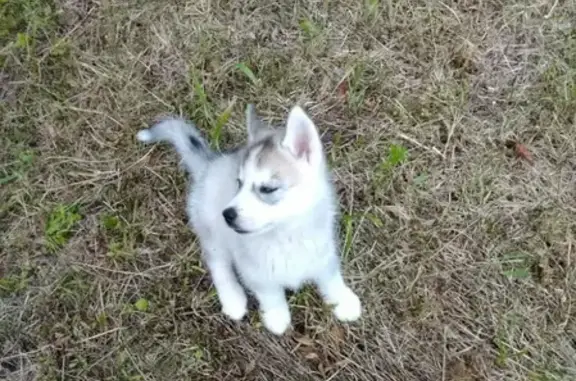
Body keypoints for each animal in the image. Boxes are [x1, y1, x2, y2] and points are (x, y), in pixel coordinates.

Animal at [137, 105, 360, 334]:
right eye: (239, 183)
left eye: (267, 189)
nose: (227, 215)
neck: (286, 234)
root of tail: (209, 166)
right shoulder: (254, 271)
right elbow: (270, 293)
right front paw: (277, 317)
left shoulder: (324, 253)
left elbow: (331, 279)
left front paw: (343, 301)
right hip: (212, 232)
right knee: (217, 263)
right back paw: (233, 298)